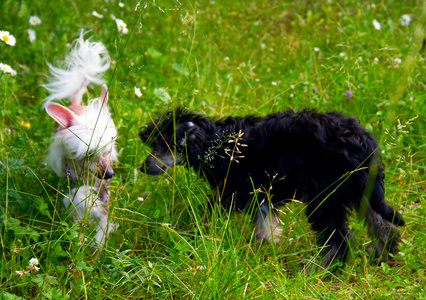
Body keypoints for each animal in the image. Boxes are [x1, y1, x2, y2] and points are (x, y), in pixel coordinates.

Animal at [138, 108, 404, 268]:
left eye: (161, 145)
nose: (142, 167)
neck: (215, 142)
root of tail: (364, 142)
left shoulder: (237, 193)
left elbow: (211, 213)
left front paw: (195, 234)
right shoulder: (259, 197)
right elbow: (266, 229)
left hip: (324, 198)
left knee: (339, 240)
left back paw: (317, 270)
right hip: (359, 192)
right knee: (384, 226)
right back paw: (382, 257)